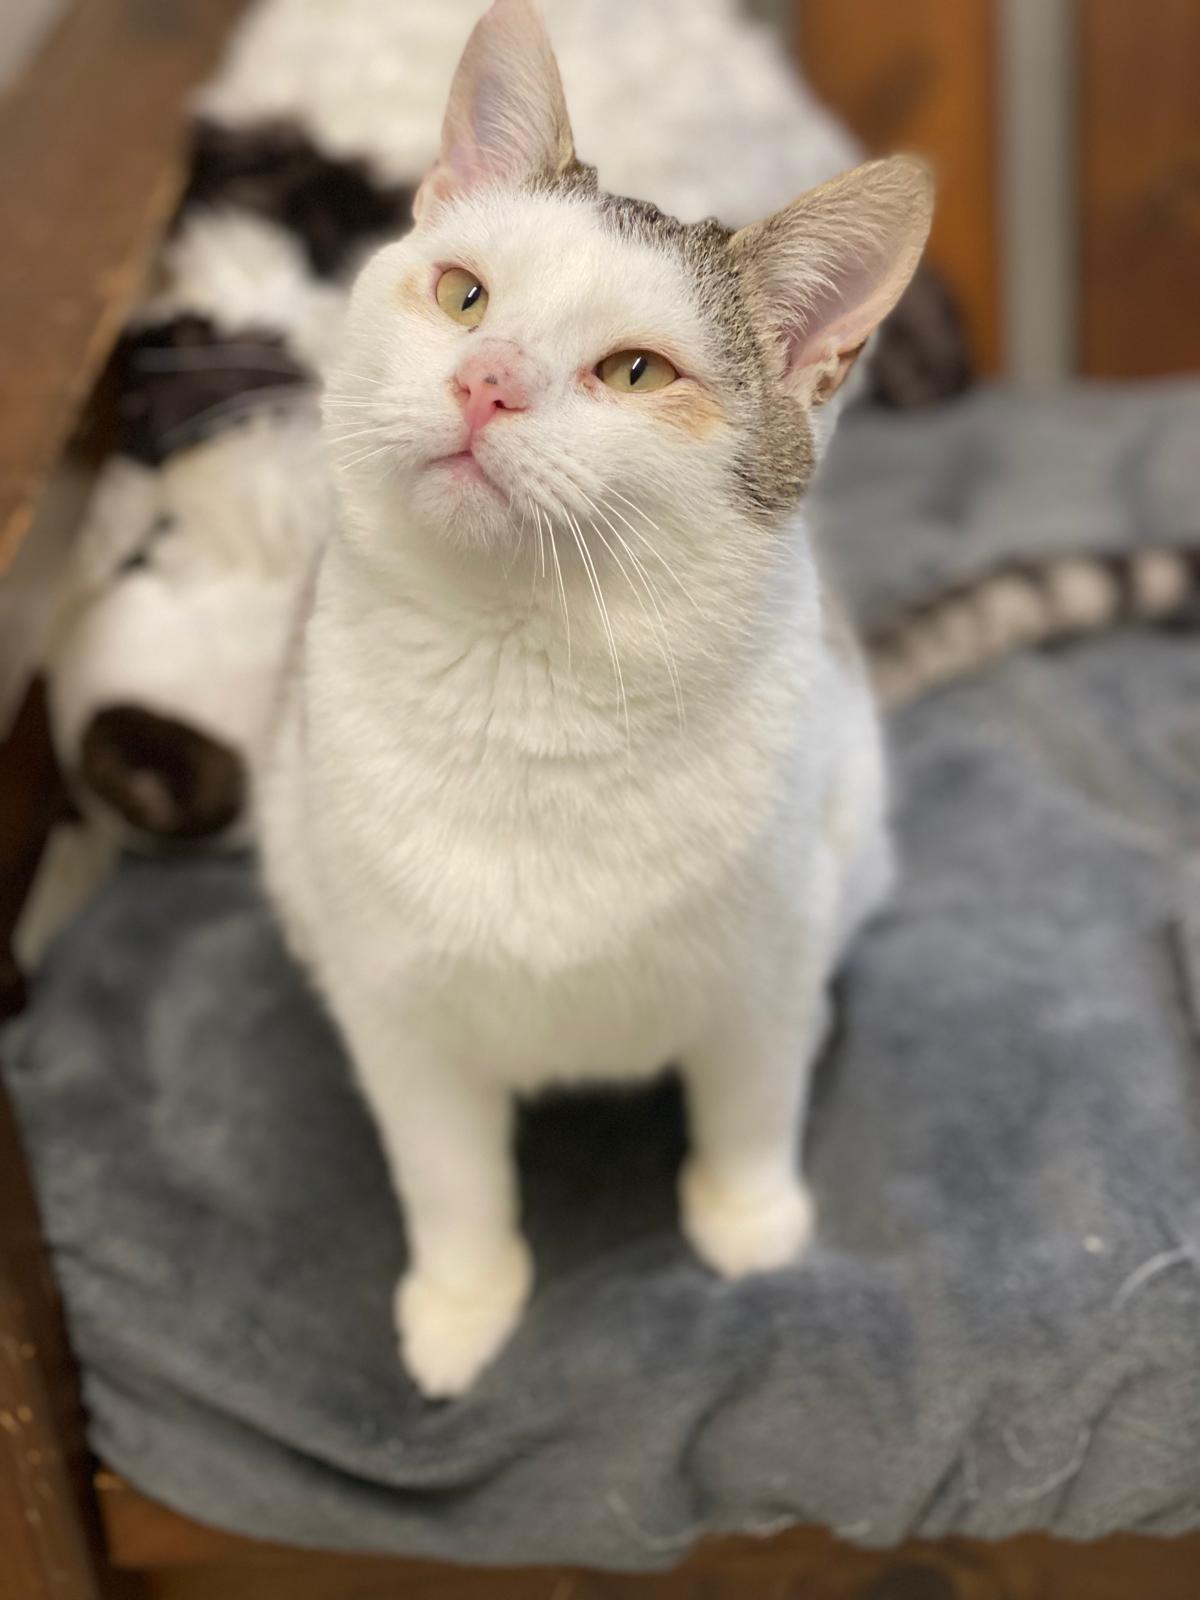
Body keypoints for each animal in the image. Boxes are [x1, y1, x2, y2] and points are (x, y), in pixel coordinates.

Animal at [259, 0, 933, 1398]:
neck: (532, 679)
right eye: (463, 294)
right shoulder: (392, 1004)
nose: (488, 379)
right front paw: (464, 1301)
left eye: (634, 372)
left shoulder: (768, 952)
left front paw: (750, 1220)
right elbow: (445, 1170)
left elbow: (753, 1095)